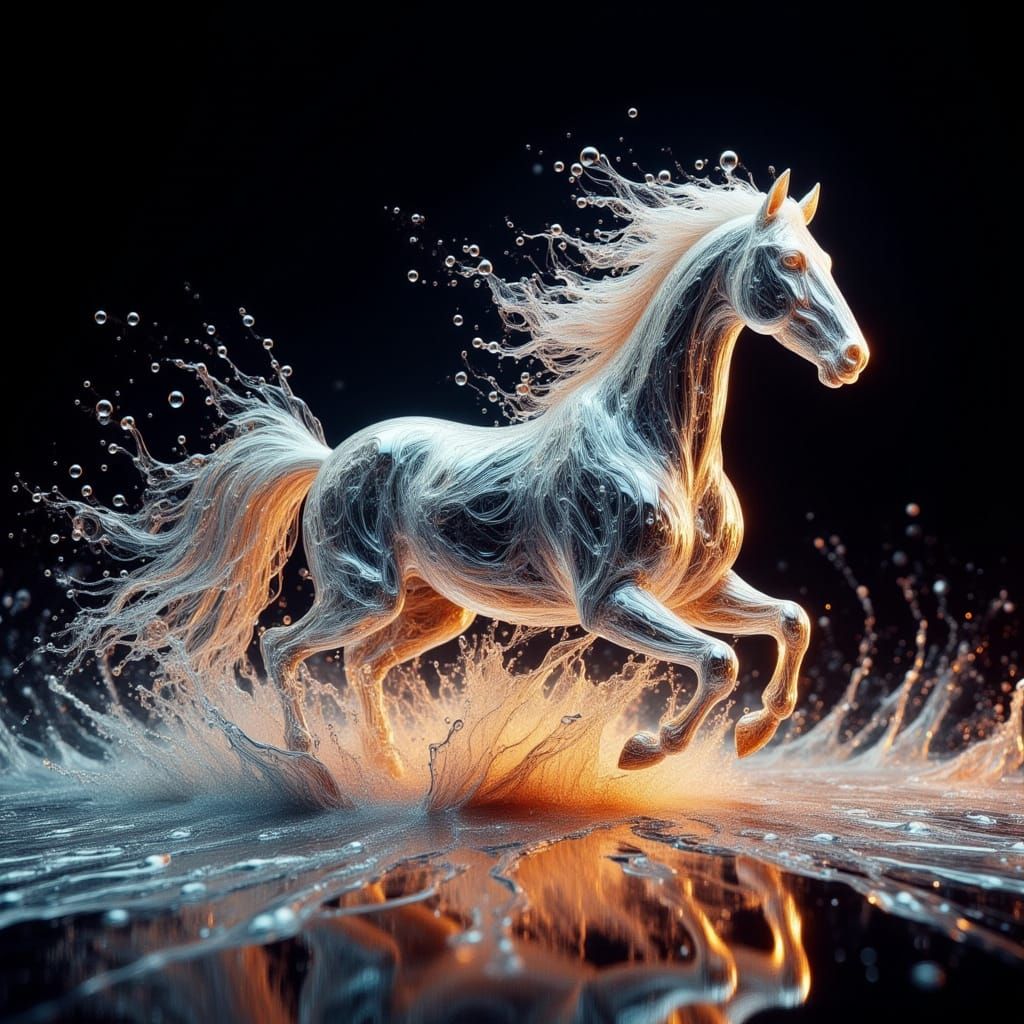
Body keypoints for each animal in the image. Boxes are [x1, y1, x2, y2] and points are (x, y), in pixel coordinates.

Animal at [57, 164, 868, 791]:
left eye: (830, 261)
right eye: (791, 264)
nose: (853, 360)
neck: (655, 446)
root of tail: (330, 460)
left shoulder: (696, 591)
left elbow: (791, 620)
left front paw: (757, 732)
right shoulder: (610, 600)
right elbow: (719, 660)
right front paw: (644, 750)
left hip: (432, 610)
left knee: (362, 664)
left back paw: (390, 767)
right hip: (363, 593)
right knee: (284, 647)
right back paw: (311, 761)